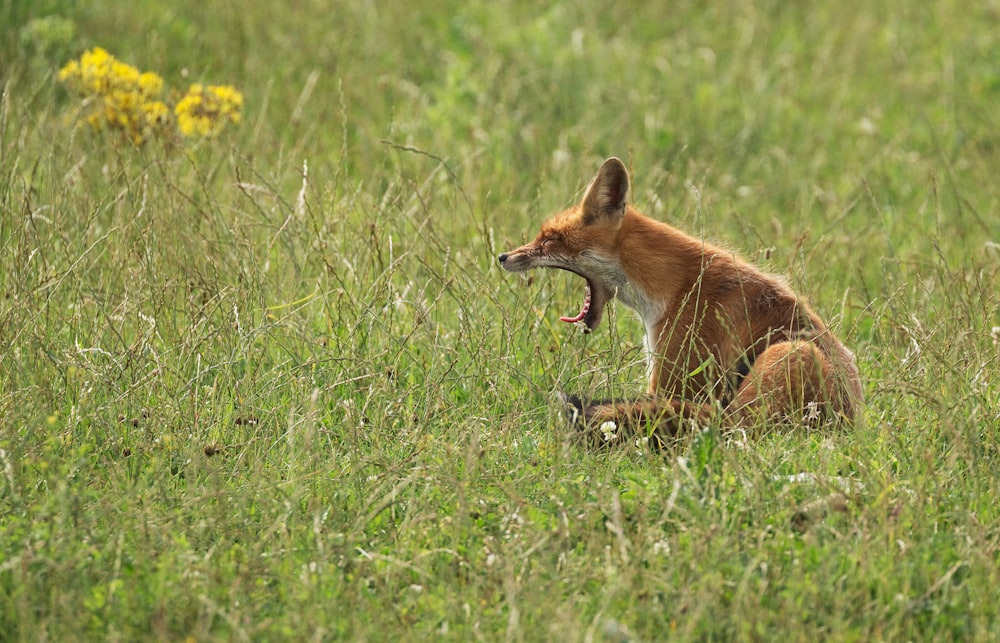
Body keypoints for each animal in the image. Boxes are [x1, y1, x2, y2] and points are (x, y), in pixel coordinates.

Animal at [496, 158, 864, 446]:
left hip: (787, 357)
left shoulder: (679, 371)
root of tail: (851, 424)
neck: (675, 288)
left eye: (549, 240)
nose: (502, 257)